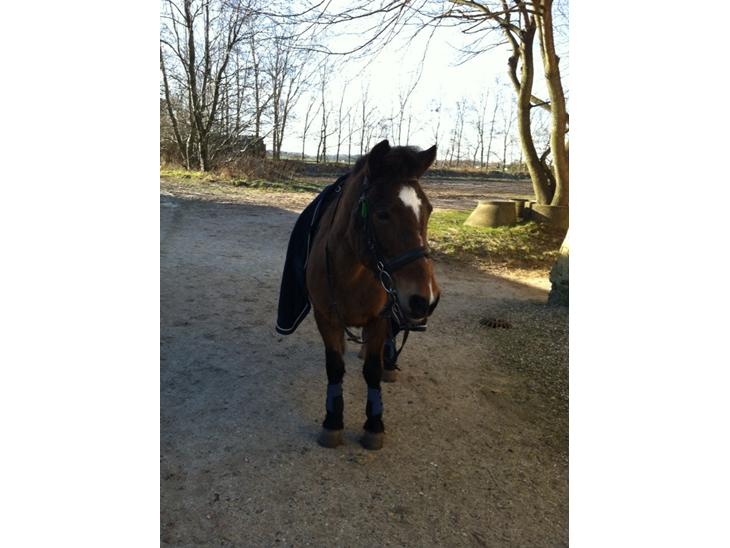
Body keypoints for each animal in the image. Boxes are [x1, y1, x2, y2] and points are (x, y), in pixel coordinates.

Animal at [305, 139, 441, 450]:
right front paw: (333, 421)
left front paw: (374, 424)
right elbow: (335, 366)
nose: (425, 299)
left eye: (428, 210)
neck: (352, 273)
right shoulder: (326, 317)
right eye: (382, 214)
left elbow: (372, 371)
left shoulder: (380, 318)